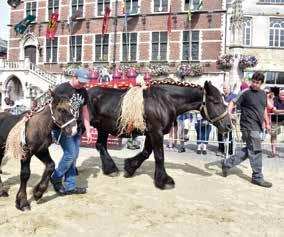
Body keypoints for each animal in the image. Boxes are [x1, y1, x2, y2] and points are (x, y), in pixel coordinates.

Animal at [88, 79, 231, 189]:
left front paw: (130, 167)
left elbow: (146, 153)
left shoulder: (151, 133)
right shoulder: (156, 132)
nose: (229, 125)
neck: (164, 101)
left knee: (100, 145)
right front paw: (164, 181)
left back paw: (110, 169)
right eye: (215, 101)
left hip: (102, 128)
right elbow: (159, 156)